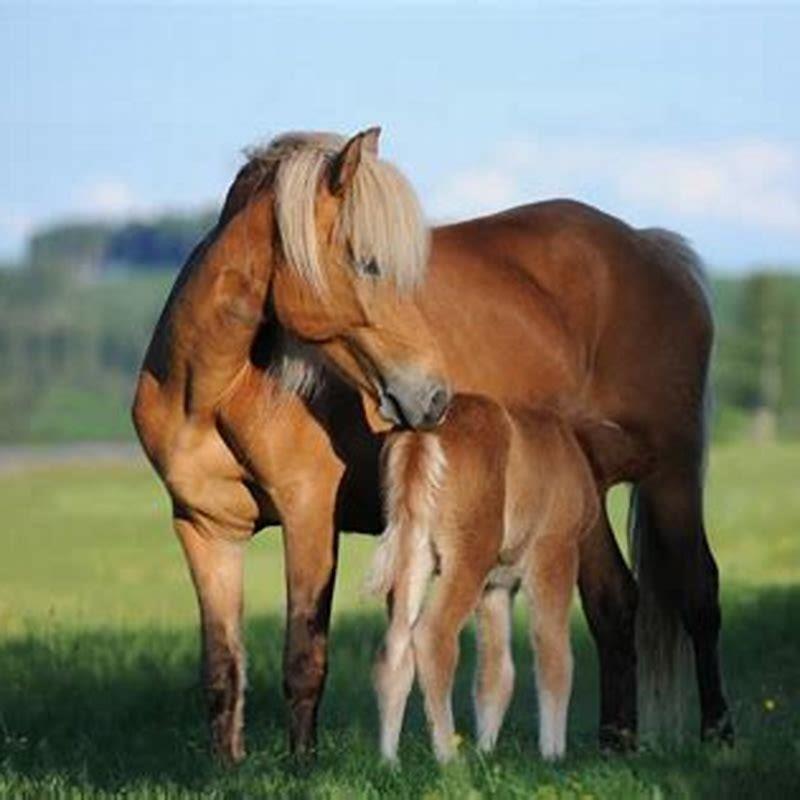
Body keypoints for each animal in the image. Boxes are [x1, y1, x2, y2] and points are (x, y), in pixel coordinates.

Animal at [369, 394, 600, 763]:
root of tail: (420, 435)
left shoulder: (496, 587)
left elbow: (495, 674)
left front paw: (485, 751)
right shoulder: (555, 552)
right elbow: (555, 654)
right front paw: (553, 755)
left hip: (413, 553)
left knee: (394, 648)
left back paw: (389, 762)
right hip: (468, 556)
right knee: (433, 636)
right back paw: (448, 757)